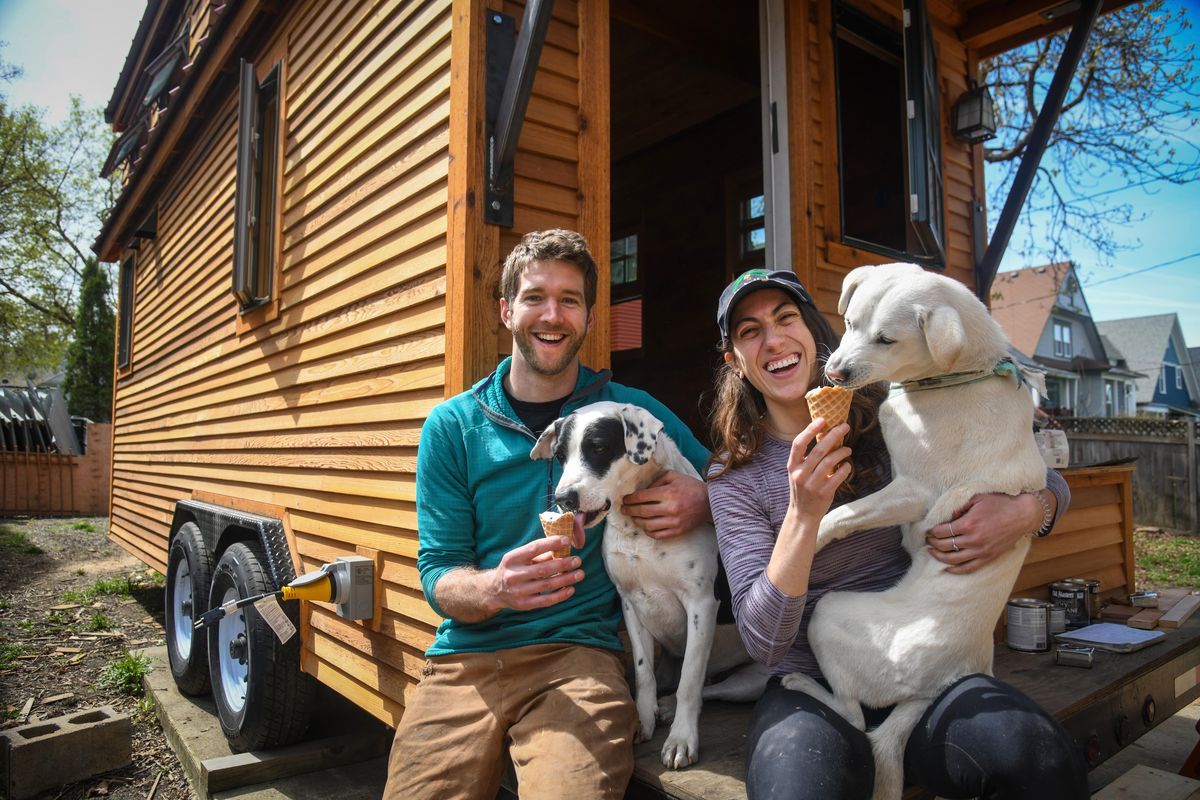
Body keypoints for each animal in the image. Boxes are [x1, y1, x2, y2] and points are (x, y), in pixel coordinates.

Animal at [528, 402, 768, 772]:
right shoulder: (630, 602)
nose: (564, 498)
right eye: (560, 455)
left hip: (754, 681)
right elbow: (643, 673)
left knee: (707, 690)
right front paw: (642, 719)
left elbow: (690, 682)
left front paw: (681, 739)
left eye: (598, 448)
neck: (635, 526)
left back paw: (672, 707)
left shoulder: (701, 605)